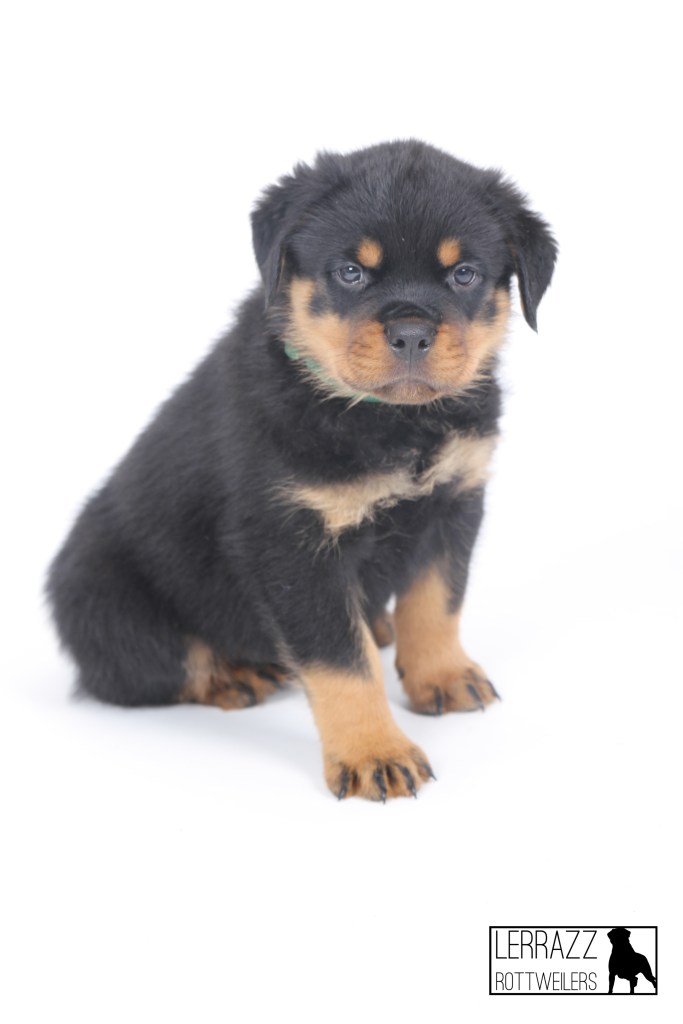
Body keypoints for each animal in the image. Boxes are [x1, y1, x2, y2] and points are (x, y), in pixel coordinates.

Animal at [47, 140, 556, 801]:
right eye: (351, 272)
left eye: (463, 273)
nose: (411, 332)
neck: (391, 422)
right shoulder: (293, 544)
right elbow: (341, 662)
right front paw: (374, 753)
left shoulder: (454, 501)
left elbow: (437, 600)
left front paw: (443, 676)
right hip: (103, 598)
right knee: (146, 668)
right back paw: (234, 676)